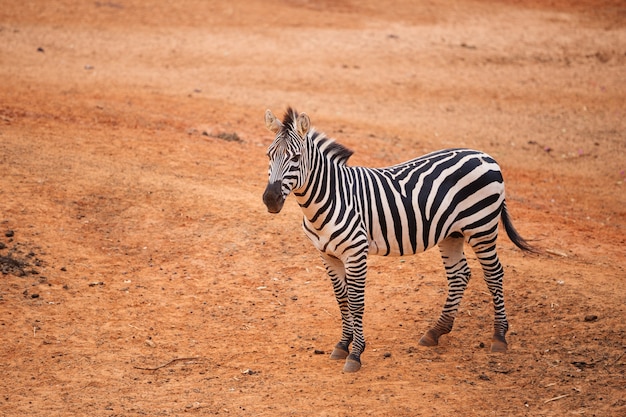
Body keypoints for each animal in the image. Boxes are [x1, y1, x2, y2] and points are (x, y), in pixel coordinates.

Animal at [260, 106, 532, 370]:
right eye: (269, 155)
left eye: (295, 158)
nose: (270, 199)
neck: (332, 196)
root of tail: (485, 155)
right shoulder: (327, 255)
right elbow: (342, 300)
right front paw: (342, 345)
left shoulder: (356, 252)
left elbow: (356, 301)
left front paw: (356, 353)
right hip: (452, 233)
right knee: (460, 275)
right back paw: (436, 332)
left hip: (482, 227)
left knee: (494, 275)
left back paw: (499, 337)